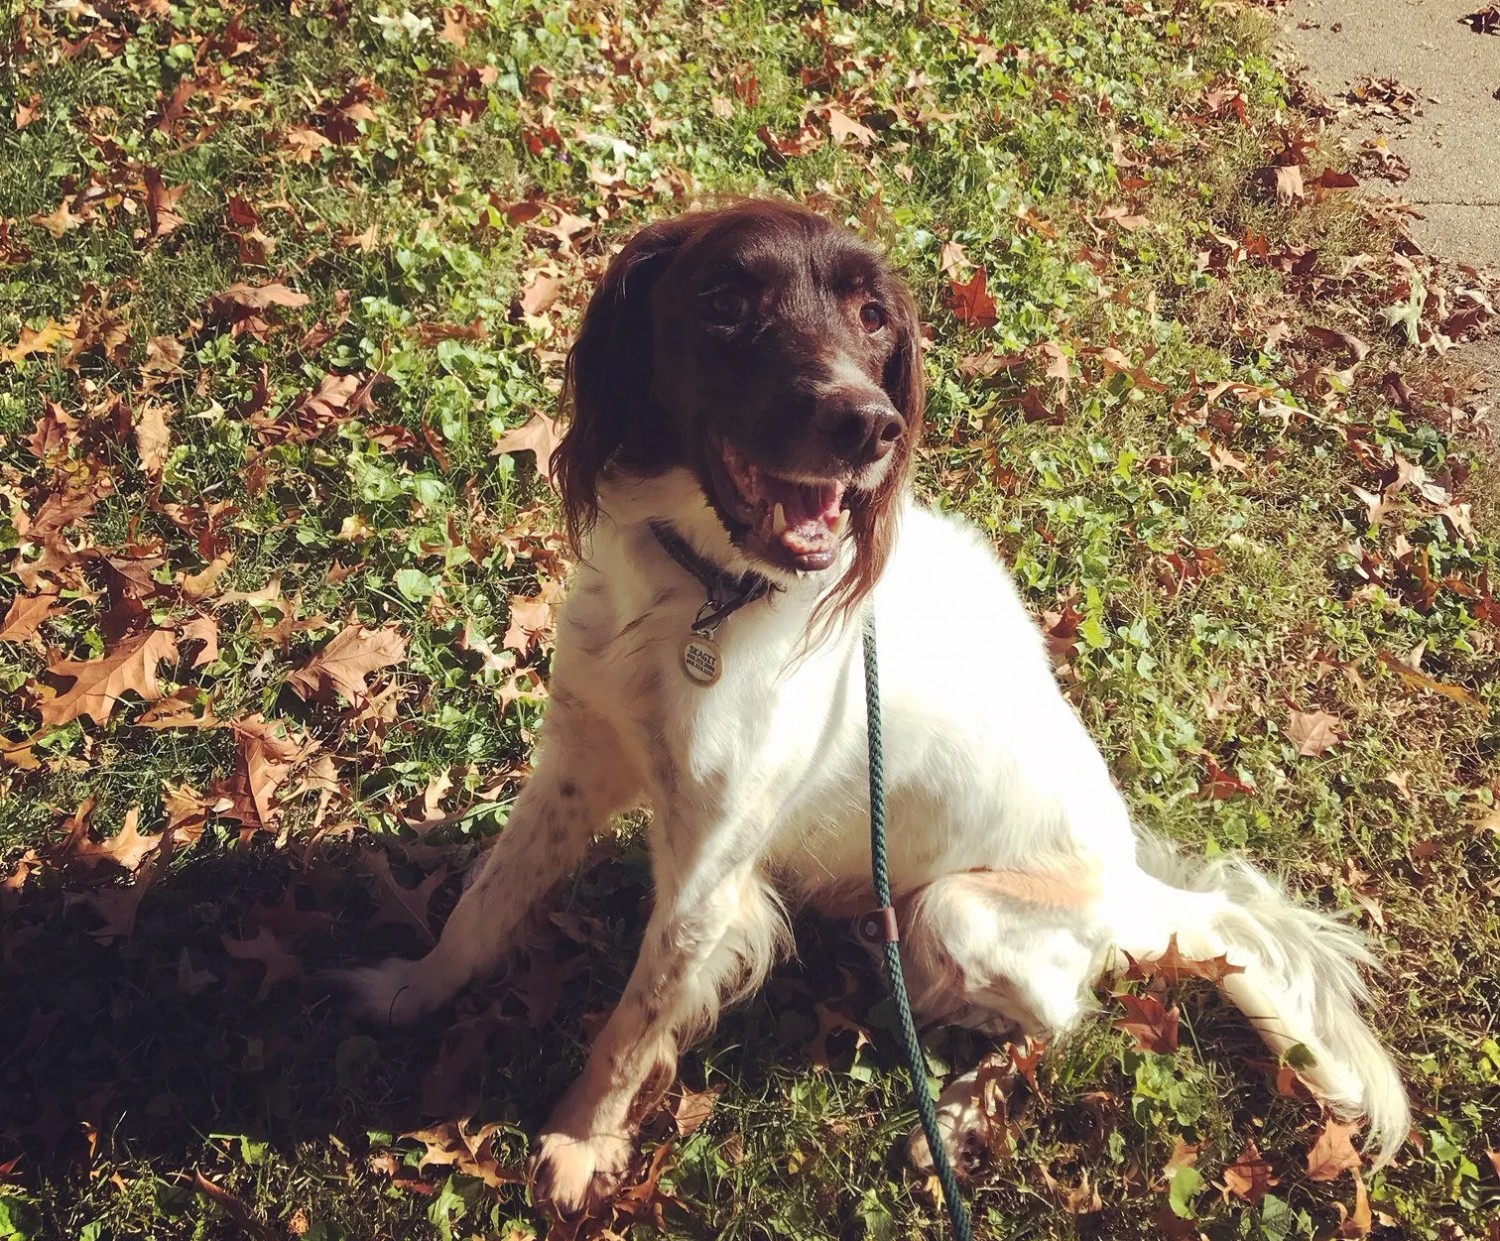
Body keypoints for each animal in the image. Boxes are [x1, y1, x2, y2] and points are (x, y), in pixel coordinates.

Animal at [345, 199, 1410, 1218]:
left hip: (954, 912)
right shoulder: (574, 761)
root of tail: (1137, 891)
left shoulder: (707, 879)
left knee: (1062, 1019)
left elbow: (629, 1027)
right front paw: (410, 990)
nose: (867, 423)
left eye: (871, 318)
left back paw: (964, 1117)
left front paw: (577, 1144)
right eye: (725, 301)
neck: (702, 596)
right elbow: (485, 902)